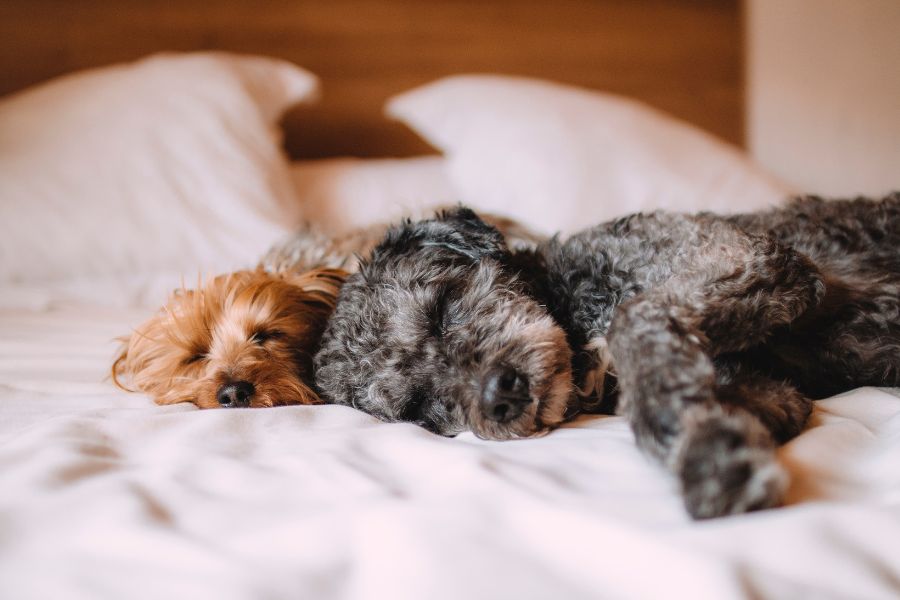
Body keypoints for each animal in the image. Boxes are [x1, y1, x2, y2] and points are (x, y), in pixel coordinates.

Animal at [314, 195, 900, 516]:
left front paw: (708, 460)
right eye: (419, 407)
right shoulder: (777, 393)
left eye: (441, 308)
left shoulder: (749, 255)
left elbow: (633, 320)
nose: (500, 395)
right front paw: (703, 433)